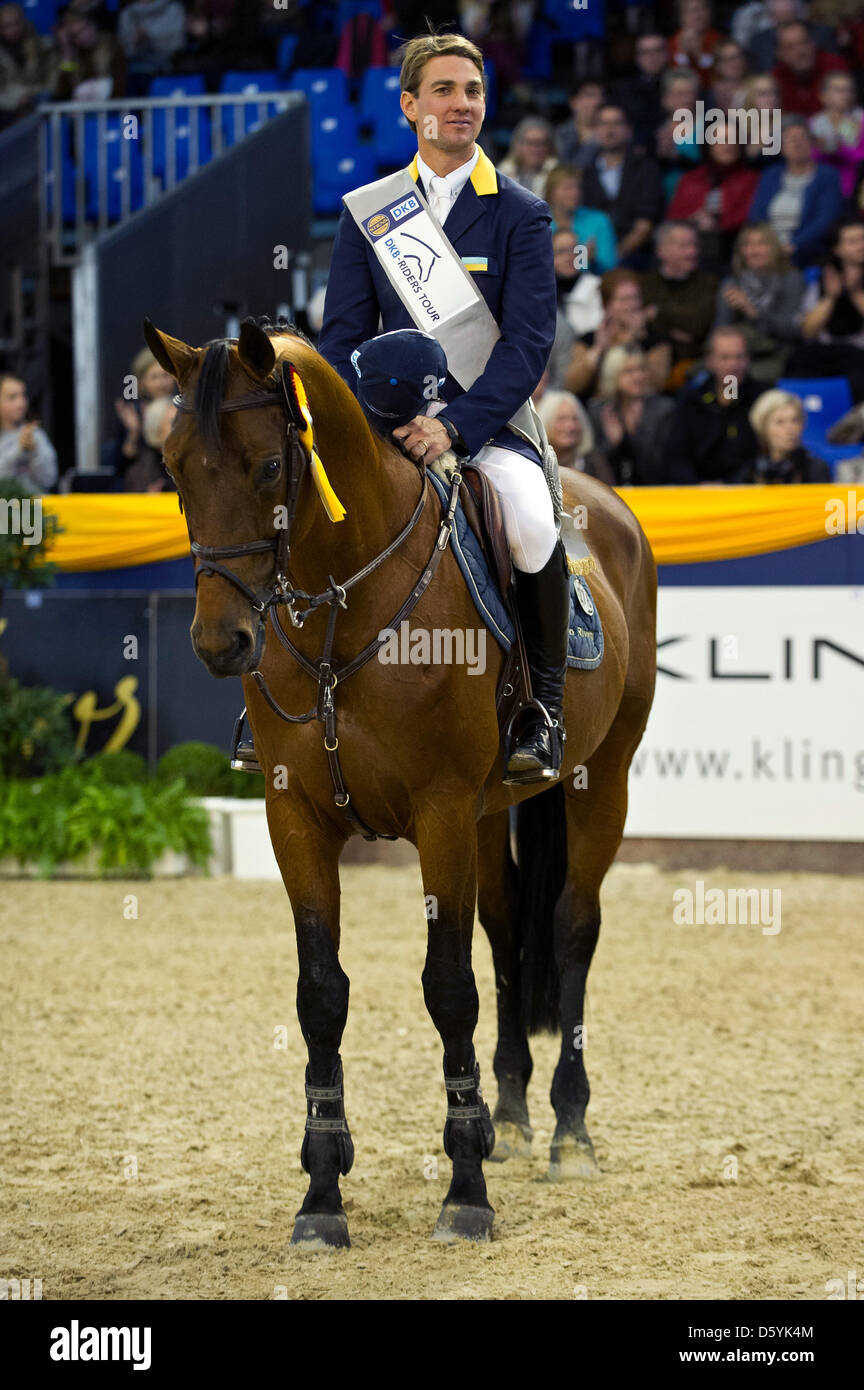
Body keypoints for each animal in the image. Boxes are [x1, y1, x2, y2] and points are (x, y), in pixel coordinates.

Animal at [143, 318, 655, 1251]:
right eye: (172, 466)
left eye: (267, 467)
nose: (220, 643)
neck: (344, 601)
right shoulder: (295, 815)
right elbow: (322, 995)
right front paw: (321, 1196)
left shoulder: (441, 812)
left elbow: (447, 988)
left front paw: (465, 1192)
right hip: (493, 812)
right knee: (506, 929)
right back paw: (512, 1118)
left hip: (601, 780)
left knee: (571, 928)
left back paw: (567, 1133)